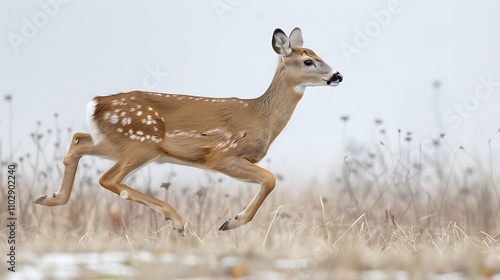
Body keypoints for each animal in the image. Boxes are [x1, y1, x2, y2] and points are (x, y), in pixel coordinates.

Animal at [33, 27, 342, 235]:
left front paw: (231, 221)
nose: (337, 75)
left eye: (318, 55)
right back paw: (177, 221)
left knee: (78, 141)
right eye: (308, 61)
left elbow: (269, 179)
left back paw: (49, 197)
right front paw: (231, 222)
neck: (260, 117)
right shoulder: (221, 155)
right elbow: (270, 179)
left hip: (114, 143)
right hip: (142, 144)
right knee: (108, 178)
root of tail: (96, 103)